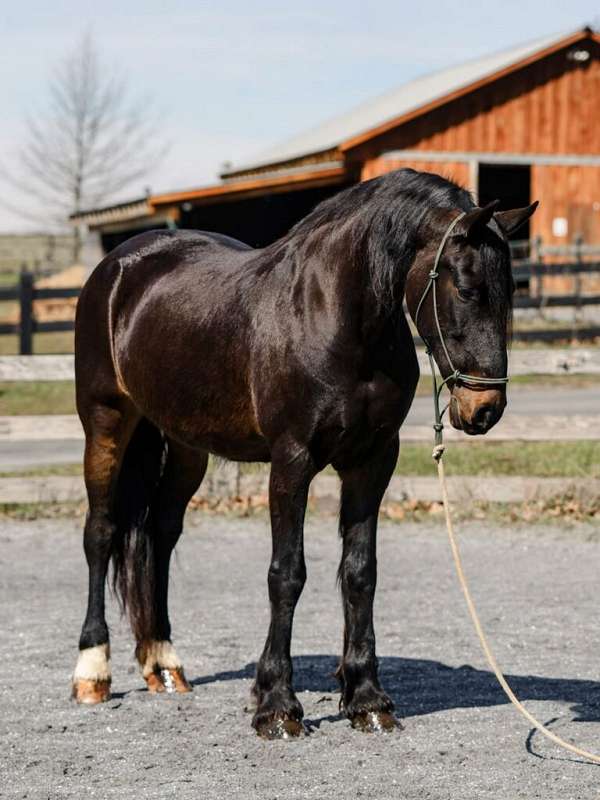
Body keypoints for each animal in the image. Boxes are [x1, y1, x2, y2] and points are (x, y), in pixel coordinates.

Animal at [71, 168, 537, 738]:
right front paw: (276, 705)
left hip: (183, 446)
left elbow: (360, 572)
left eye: (511, 290)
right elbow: (287, 574)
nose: (484, 408)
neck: (334, 317)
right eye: (467, 289)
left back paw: (164, 663)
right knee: (101, 533)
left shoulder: (372, 461)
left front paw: (366, 698)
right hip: (106, 423)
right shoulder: (291, 461)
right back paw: (92, 672)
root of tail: (119, 264)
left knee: (159, 536)